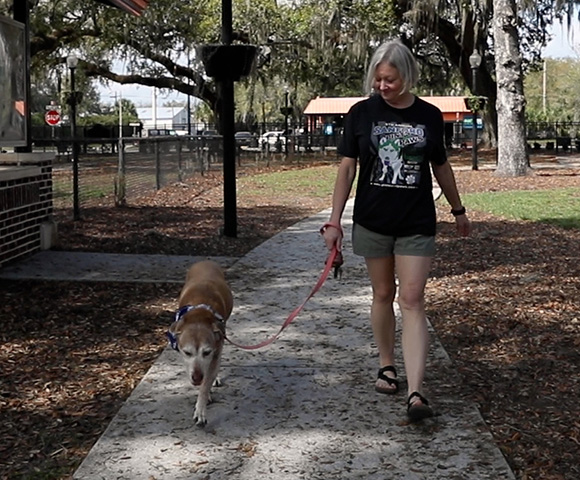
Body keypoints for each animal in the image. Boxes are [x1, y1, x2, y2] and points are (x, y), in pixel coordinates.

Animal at [167, 260, 232, 426]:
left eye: (206, 352)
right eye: (187, 352)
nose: (197, 378)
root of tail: (206, 261)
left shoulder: (215, 351)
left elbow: (206, 382)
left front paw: (200, 410)